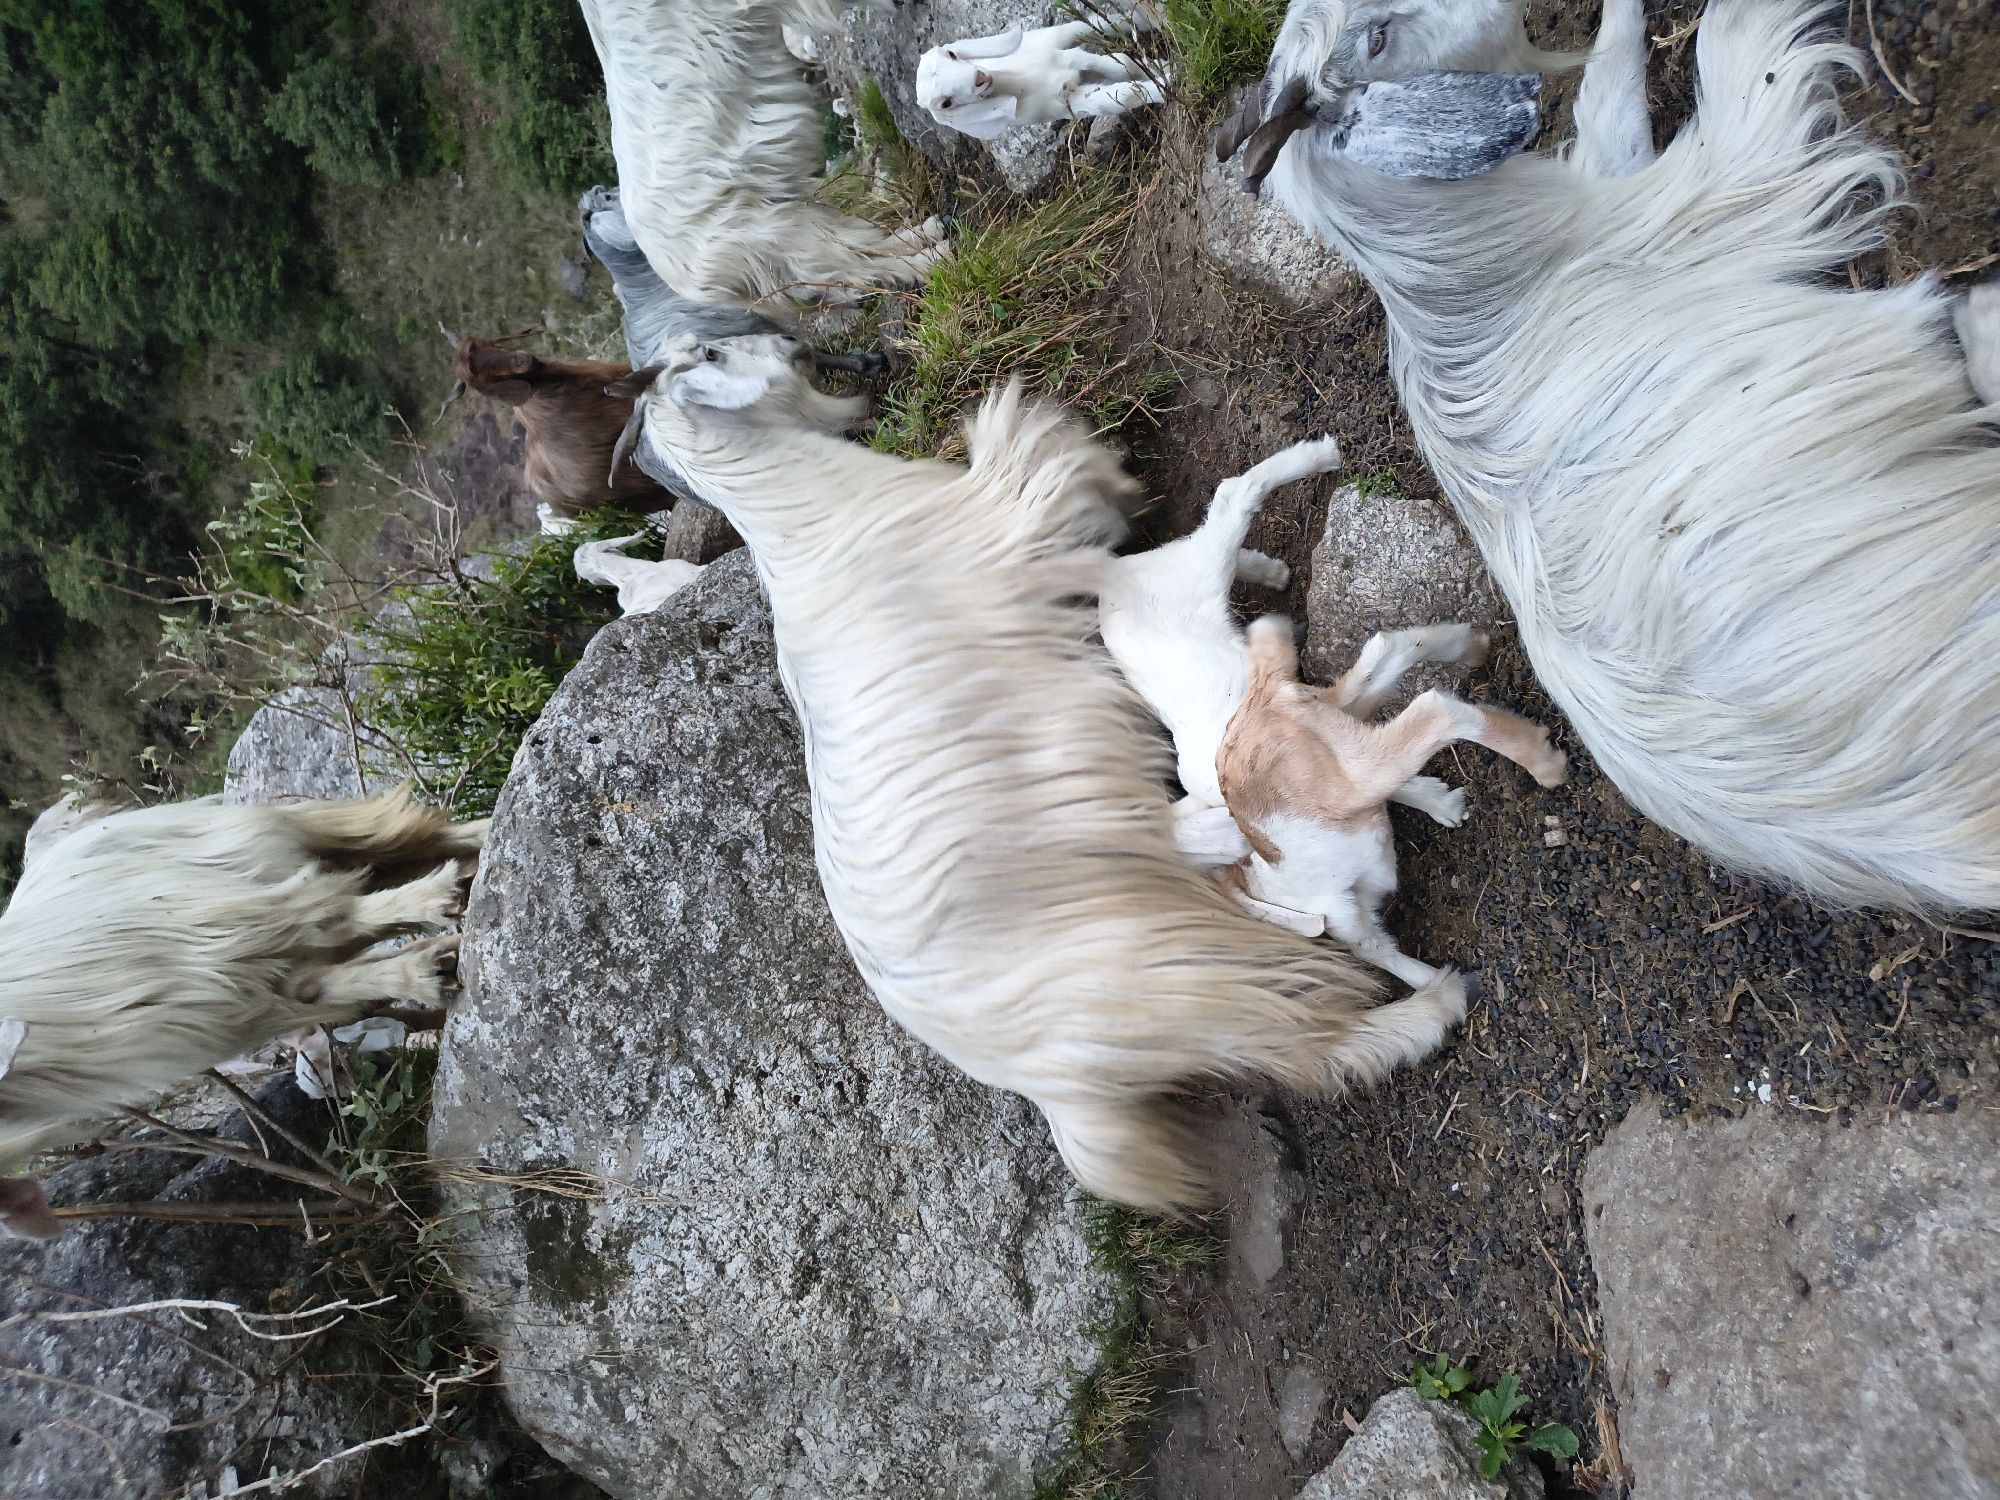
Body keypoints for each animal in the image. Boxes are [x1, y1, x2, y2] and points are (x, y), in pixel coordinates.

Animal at [0, 787, 484, 1235]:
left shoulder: (227, 922)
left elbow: (334, 919)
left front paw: (434, 908)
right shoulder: (240, 1004)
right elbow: (320, 986)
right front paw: (425, 972)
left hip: (255, 843)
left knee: (412, 841)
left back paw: (465, 863)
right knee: (392, 873)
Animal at [579, 0, 945, 313]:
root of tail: (686, 284)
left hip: (796, 219)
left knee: (865, 248)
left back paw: (925, 233)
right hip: (779, 236)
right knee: (865, 264)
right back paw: (934, 256)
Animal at [612, 332, 1467, 1211]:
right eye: (718, 352)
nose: (831, 354)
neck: (805, 517)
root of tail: (1039, 1086)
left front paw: (1269, 577)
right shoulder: (1034, 527)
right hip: (1191, 976)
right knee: (1314, 1033)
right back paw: (1430, 999)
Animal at [917, 16, 1169, 140]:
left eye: (951, 54)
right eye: (946, 103)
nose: (979, 78)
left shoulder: (1070, 59)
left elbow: (1119, 65)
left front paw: (1164, 71)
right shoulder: (1067, 104)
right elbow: (1121, 96)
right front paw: (1165, 82)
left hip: (1048, 37)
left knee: (1084, 25)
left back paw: (1142, 20)